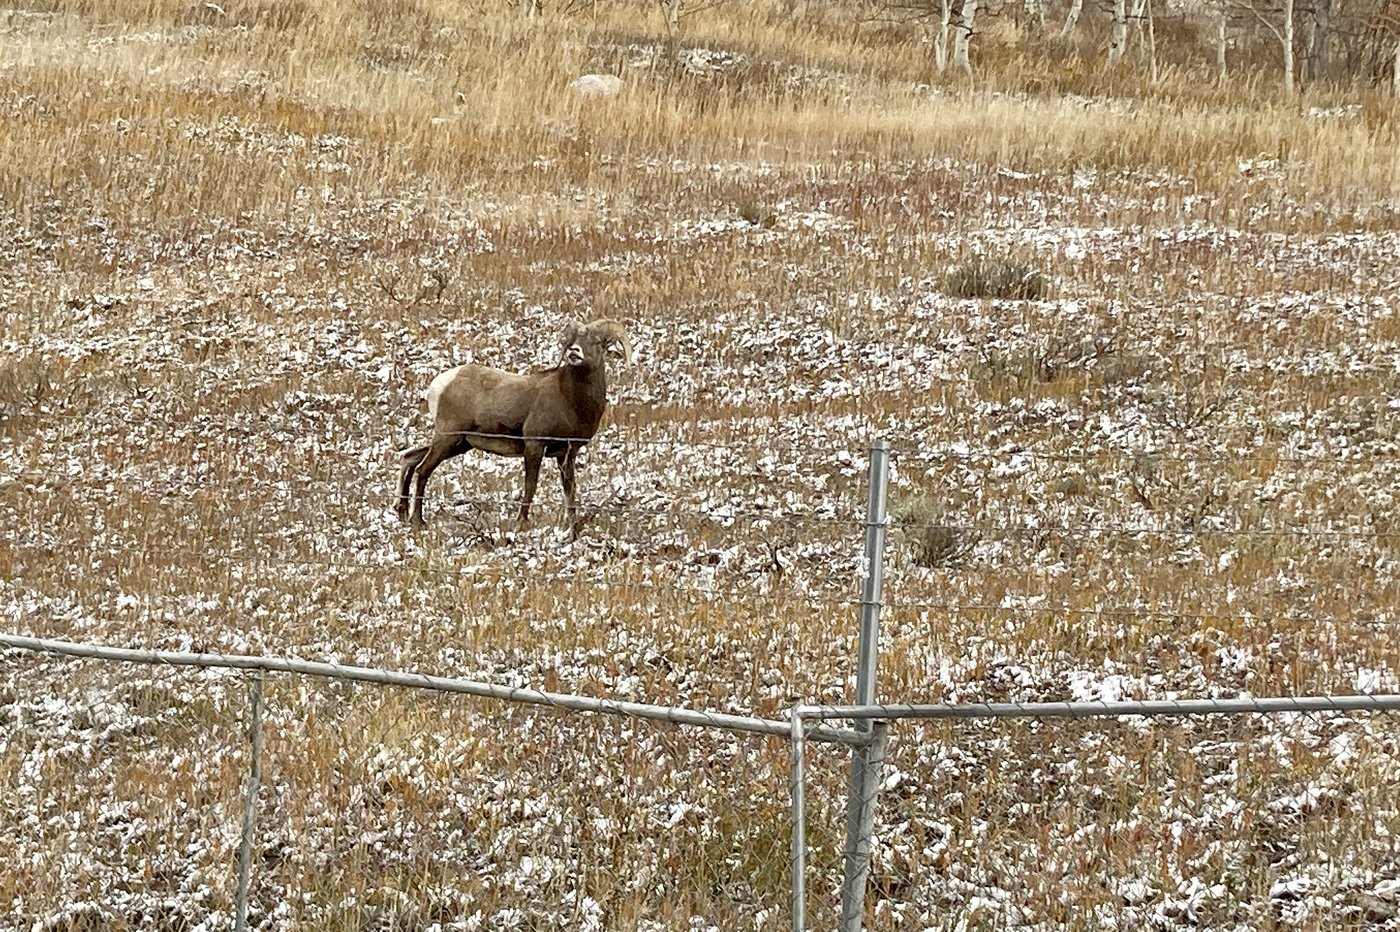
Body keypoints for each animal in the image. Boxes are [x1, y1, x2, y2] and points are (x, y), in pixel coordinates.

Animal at [397, 318, 633, 536]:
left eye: (597, 341)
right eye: (573, 339)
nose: (574, 351)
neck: (572, 400)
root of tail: (440, 384)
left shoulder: (567, 453)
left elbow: (570, 490)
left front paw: (571, 528)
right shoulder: (535, 445)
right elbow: (530, 486)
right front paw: (521, 524)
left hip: (459, 444)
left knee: (410, 458)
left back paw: (402, 513)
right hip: (448, 438)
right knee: (423, 470)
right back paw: (418, 522)